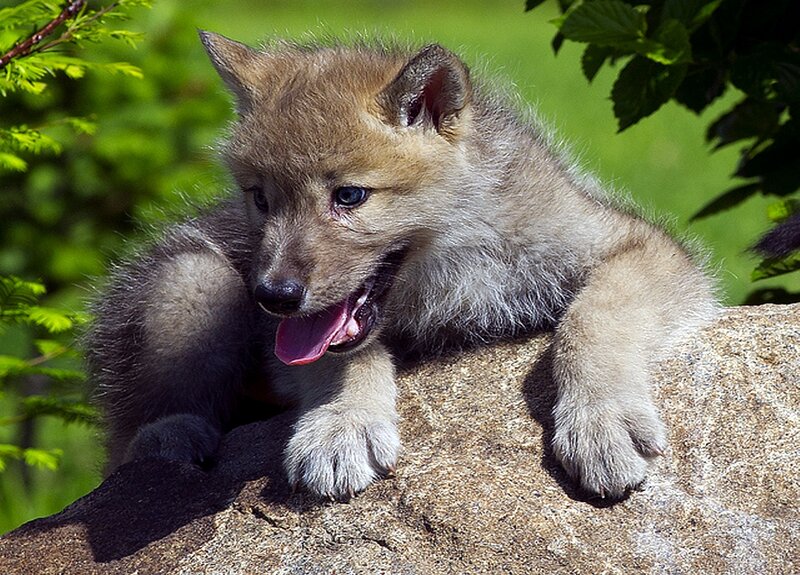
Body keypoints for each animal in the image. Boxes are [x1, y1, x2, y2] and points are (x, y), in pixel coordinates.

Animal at [86, 31, 718, 500]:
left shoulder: (634, 245)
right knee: (129, 435)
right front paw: (341, 424)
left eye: (349, 196)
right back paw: (171, 436)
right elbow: (342, 358)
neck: (457, 259)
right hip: (196, 276)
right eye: (260, 198)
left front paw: (600, 420)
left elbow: (592, 319)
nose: (273, 294)